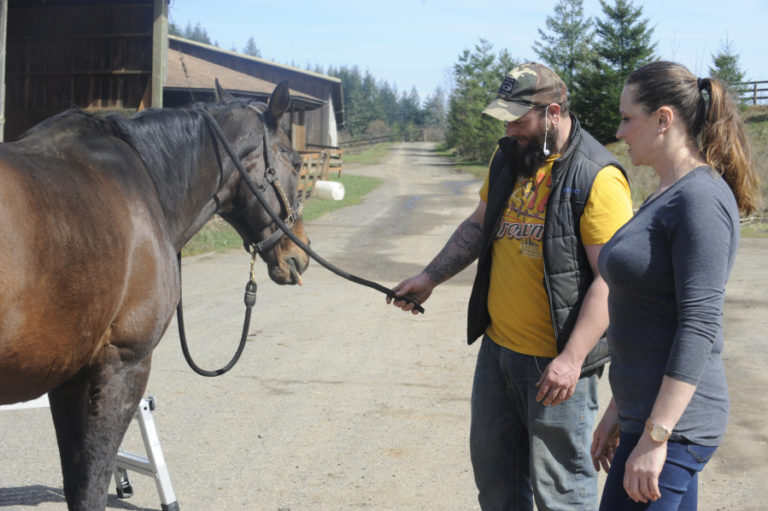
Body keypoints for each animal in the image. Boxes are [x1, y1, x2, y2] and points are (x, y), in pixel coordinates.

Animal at [0, 80, 310, 510]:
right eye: (296, 163)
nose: (300, 255)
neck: (143, 183)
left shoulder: (68, 376)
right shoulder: (122, 364)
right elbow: (89, 485)